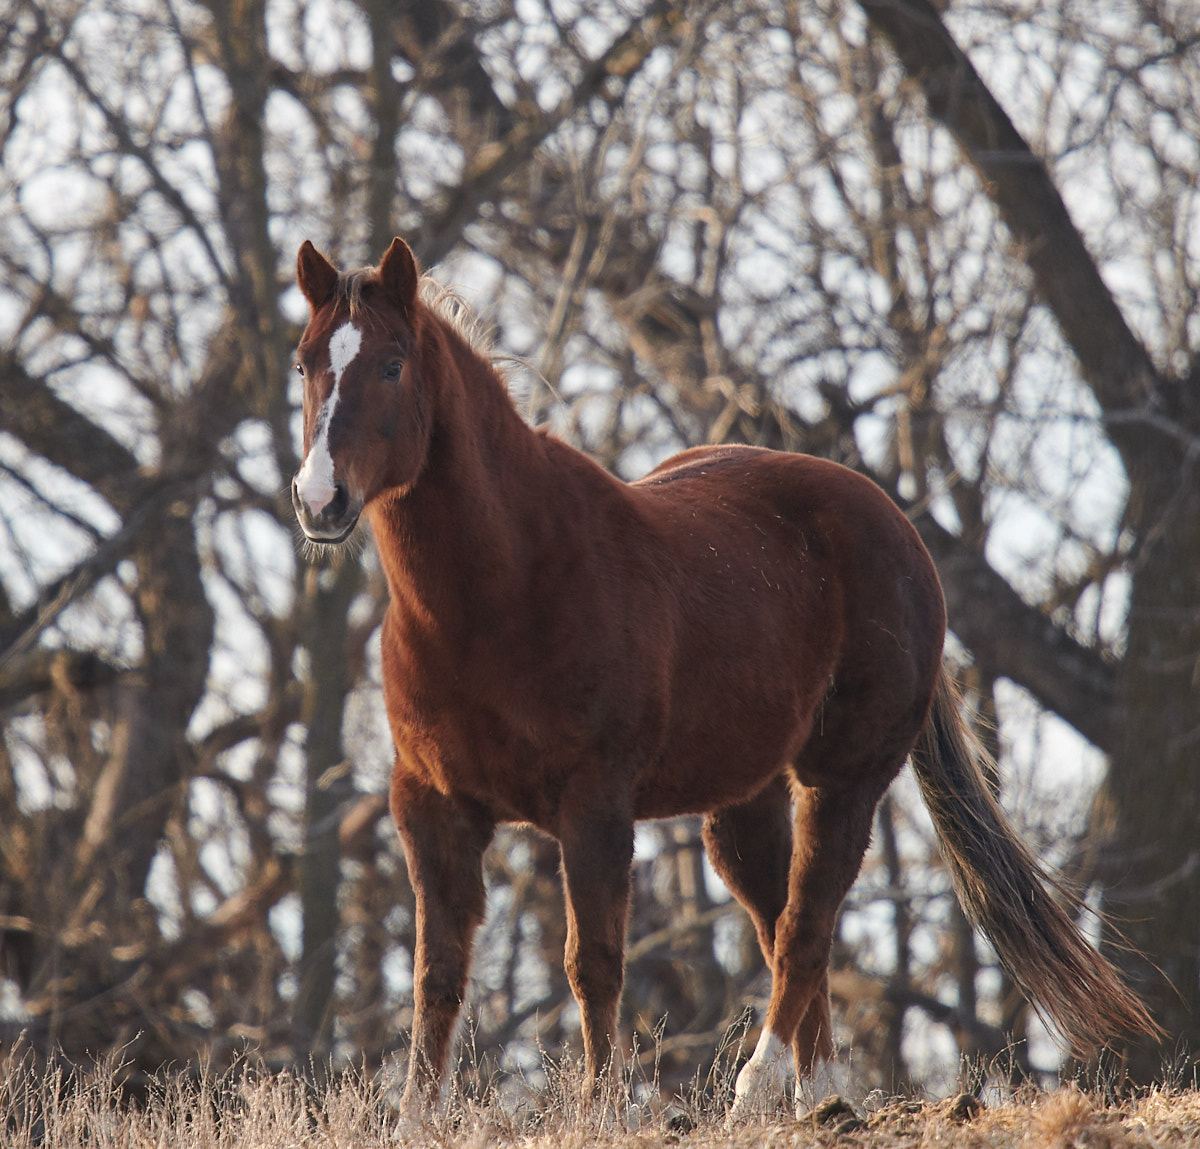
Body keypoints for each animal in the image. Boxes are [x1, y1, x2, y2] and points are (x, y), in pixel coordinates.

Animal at [290, 237, 1156, 1115]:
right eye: (305, 363)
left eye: (392, 363)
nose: (320, 500)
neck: (504, 589)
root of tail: (898, 528)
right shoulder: (430, 805)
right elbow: (437, 974)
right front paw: (414, 1115)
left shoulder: (594, 802)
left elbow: (593, 961)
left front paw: (601, 1109)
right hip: (744, 802)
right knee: (784, 927)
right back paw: (818, 1098)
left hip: (843, 780)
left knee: (806, 927)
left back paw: (757, 1083)